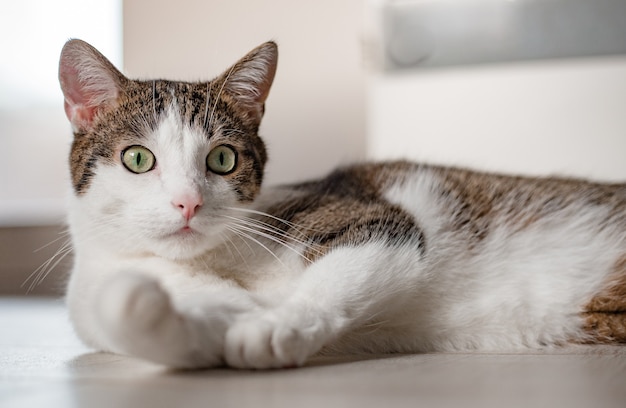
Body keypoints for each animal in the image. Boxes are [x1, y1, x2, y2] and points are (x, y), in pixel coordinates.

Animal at [58, 39, 624, 370]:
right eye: (137, 158)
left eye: (222, 158)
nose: (187, 204)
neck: (210, 261)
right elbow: (168, 329)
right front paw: (144, 306)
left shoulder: (375, 220)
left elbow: (336, 278)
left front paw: (274, 329)